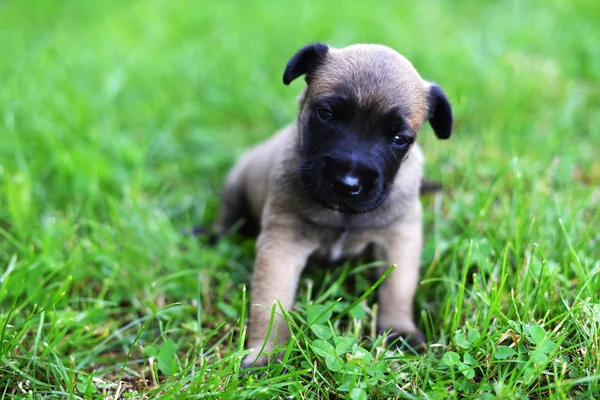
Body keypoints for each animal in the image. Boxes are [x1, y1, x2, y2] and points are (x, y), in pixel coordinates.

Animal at [218, 43, 452, 366]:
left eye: (398, 139)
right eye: (326, 114)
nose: (347, 182)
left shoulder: (400, 238)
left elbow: (398, 288)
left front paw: (399, 330)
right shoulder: (281, 244)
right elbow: (271, 301)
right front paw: (266, 352)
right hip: (234, 187)